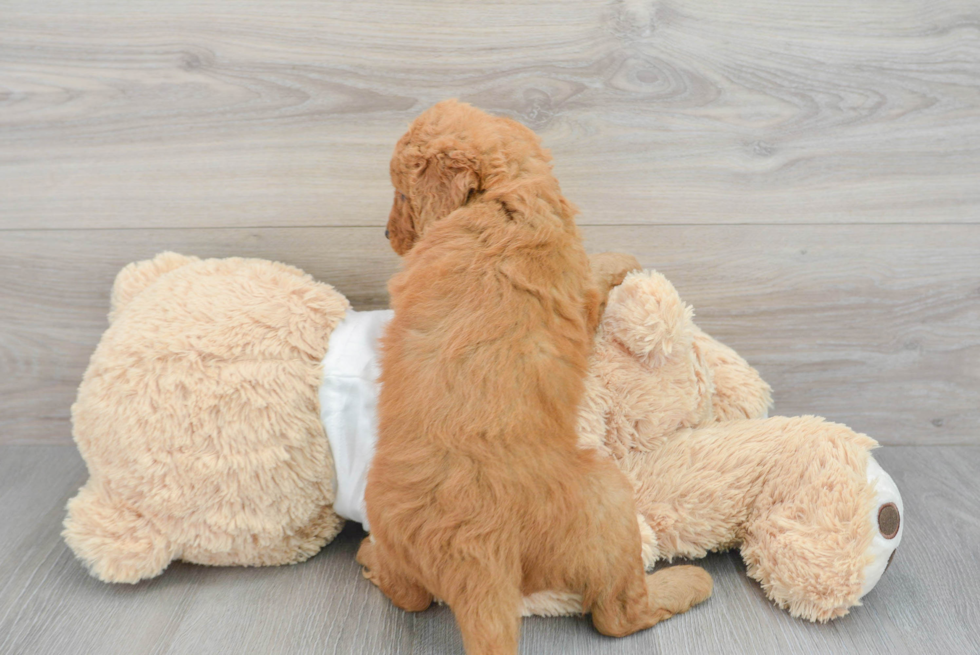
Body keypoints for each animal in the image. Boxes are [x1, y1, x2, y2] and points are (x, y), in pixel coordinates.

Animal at [360, 100, 712, 652]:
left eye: (399, 193)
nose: (386, 235)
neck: (500, 195)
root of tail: (477, 556)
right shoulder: (581, 294)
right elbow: (599, 267)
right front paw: (624, 258)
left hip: (390, 524)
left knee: (409, 594)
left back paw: (368, 557)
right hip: (610, 500)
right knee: (619, 613)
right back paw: (689, 582)